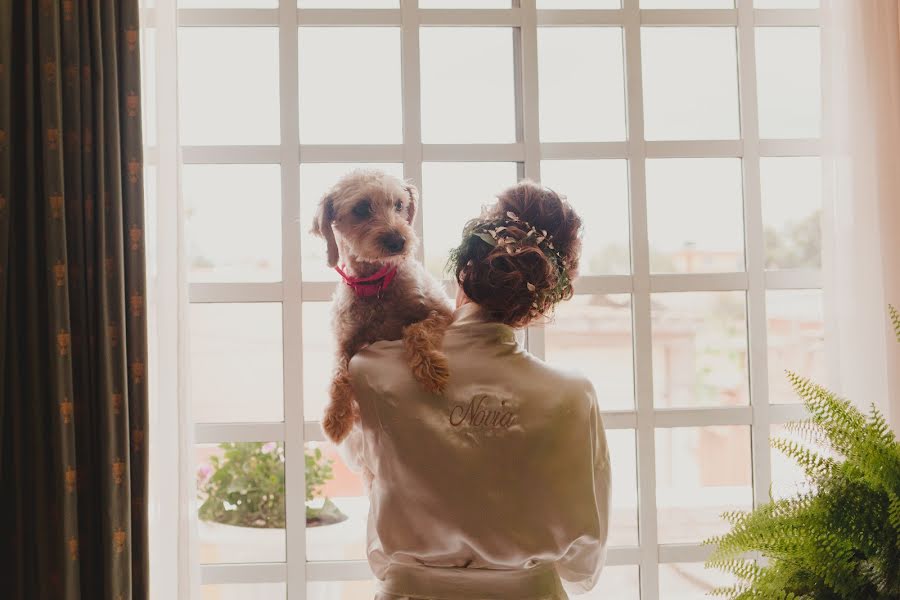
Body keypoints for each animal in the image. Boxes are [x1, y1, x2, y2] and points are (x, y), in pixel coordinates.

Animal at [312, 169, 454, 446]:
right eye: (361, 208)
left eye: (399, 205)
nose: (399, 241)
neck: (377, 286)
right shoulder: (345, 340)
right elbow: (337, 372)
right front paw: (336, 416)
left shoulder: (442, 311)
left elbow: (416, 330)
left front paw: (431, 369)